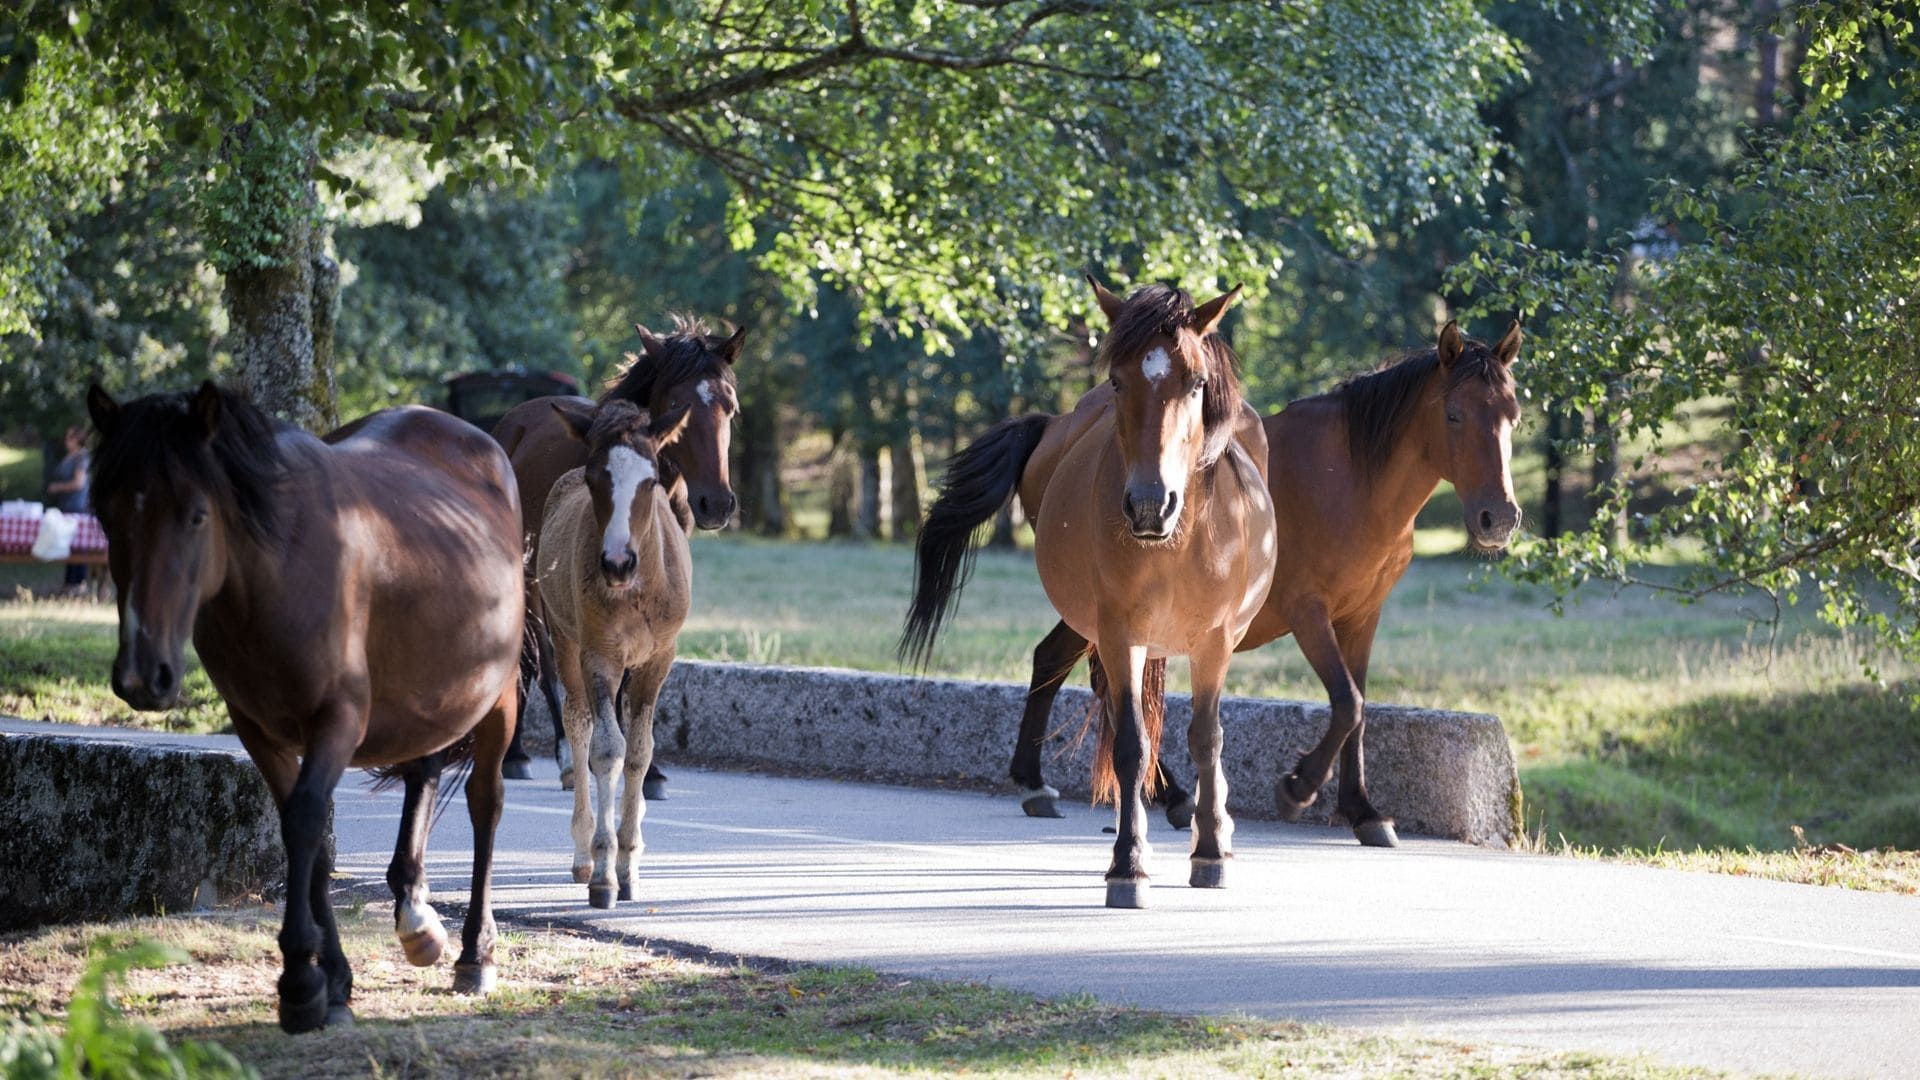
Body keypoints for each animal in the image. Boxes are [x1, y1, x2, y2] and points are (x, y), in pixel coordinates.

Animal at [85, 382, 523, 1033]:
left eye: (197, 513)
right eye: (107, 516)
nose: (144, 676)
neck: (276, 571)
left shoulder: (337, 720)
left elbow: (305, 821)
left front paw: (299, 980)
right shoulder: (259, 731)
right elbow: (307, 841)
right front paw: (334, 983)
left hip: (499, 697)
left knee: (485, 804)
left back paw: (476, 954)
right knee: (422, 768)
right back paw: (416, 917)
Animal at [492, 316, 743, 790]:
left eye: (730, 405)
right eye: (678, 402)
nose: (716, 503)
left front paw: (650, 772)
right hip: (530, 579)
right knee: (540, 660)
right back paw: (536, 755)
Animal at [534, 399, 693, 908]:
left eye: (651, 480)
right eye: (594, 478)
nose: (617, 563)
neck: (637, 590)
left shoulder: (658, 659)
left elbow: (640, 752)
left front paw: (630, 862)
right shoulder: (598, 655)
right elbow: (606, 750)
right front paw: (604, 871)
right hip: (565, 641)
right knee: (578, 722)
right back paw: (583, 852)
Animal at [903, 279, 1275, 909]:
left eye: (1196, 383)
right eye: (1119, 380)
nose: (1150, 504)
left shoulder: (1215, 642)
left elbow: (1207, 738)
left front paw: (1209, 851)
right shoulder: (1119, 629)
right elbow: (1129, 743)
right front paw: (1128, 864)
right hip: (1092, 621)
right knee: (1067, 667)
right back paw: (1045, 785)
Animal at [1005, 320, 1523, 846]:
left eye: (1514, 417)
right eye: (1454, 414)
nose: (1498, 518)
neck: (1350, 480)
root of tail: (1054, 431)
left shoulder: (1362, 616)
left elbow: (1358, 709)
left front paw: (1362, 809)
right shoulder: (1308, 612)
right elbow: (1347, 702)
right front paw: (1299, 787)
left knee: (1056, 662)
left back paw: (1053, 783)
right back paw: (1152, 793)